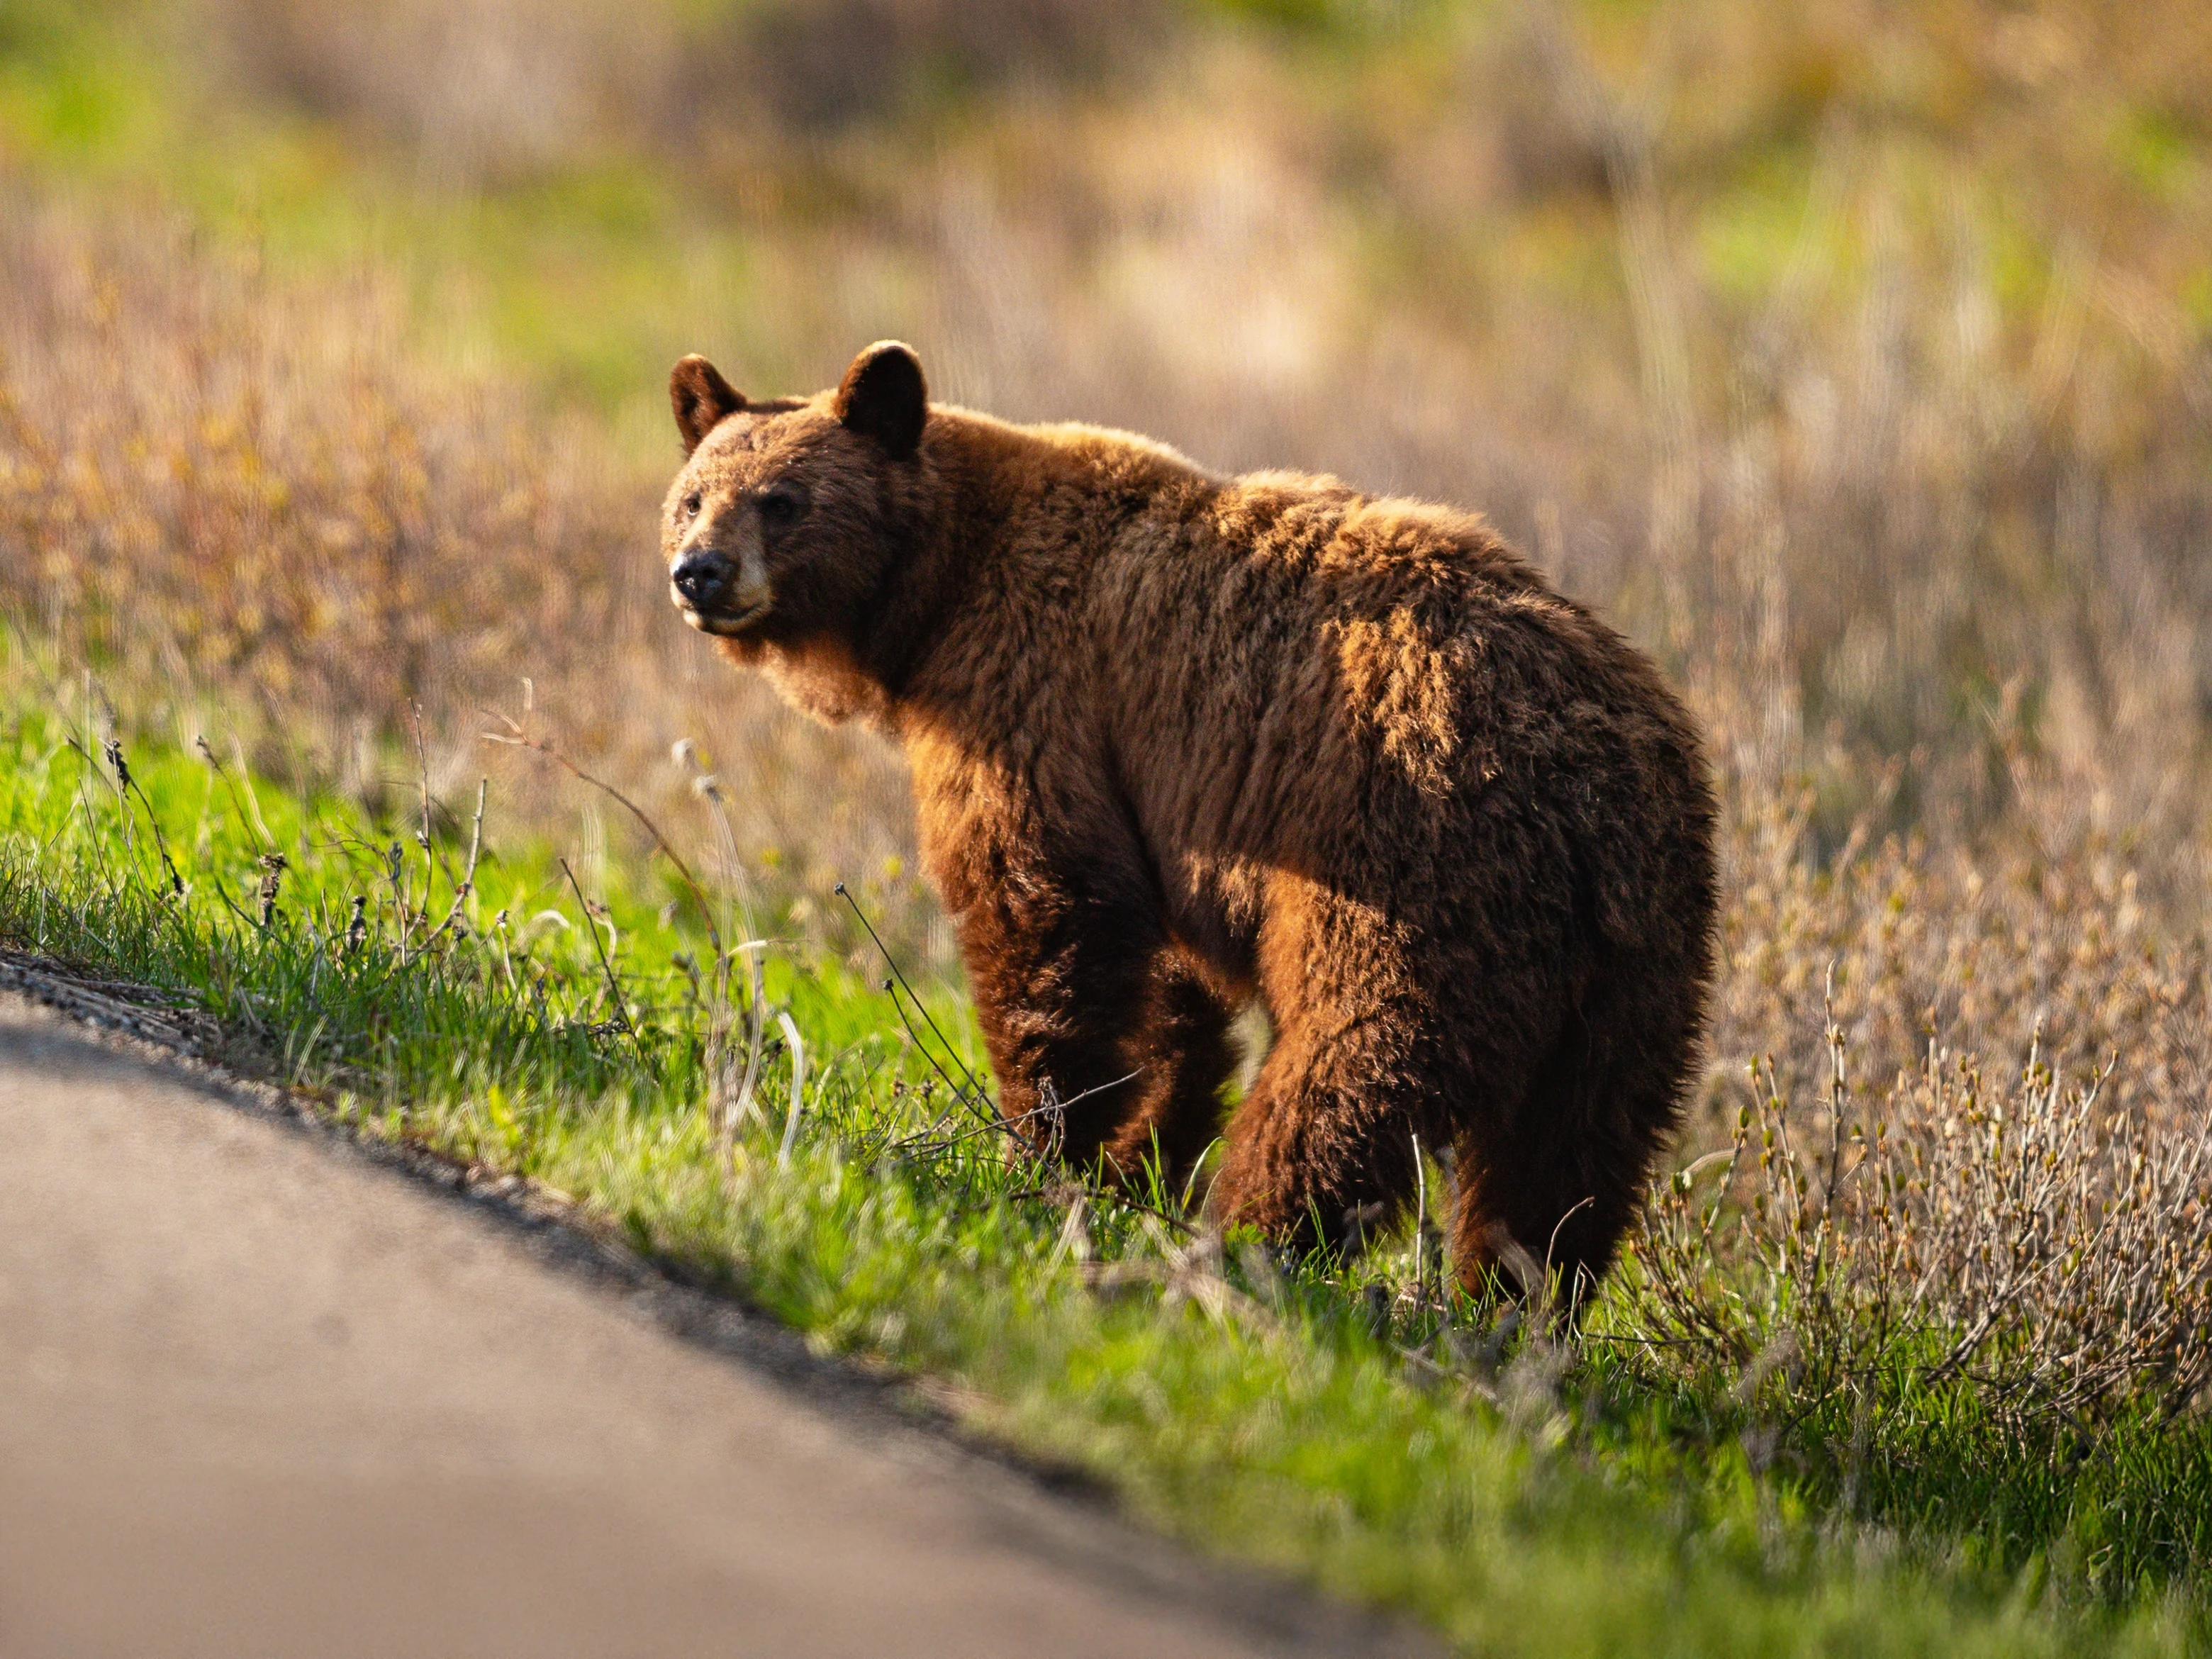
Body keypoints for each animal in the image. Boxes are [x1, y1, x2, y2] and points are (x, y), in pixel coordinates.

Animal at [662, 340, 1718, 1295]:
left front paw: (1043, 1148)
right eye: (695, 494)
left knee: (1355, 1060)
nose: (700, 571)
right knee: (1576, 1147)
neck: (938, 592)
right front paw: (1138, 1154)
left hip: (1413, 862)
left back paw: (1253, 1238)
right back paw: (1519, 1301)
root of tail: (1593, 785)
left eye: (783, 499)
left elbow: (1043, 910)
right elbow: (1166, 986)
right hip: (1640, 961)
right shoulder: (1163, 810)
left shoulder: (1035, 692)